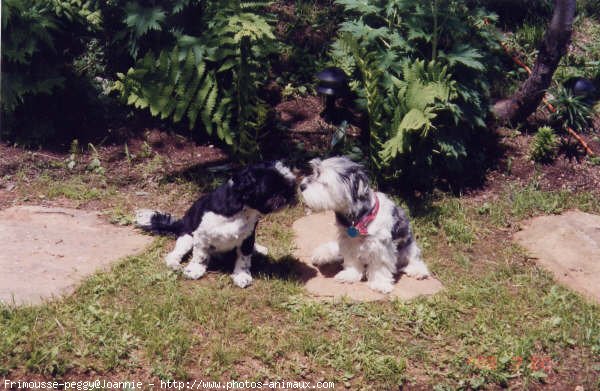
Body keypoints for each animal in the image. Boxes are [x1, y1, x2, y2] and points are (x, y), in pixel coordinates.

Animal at [135, 162, 296, 288]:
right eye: (272, 188)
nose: (289, 193)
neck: (240, 210)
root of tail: (181, 223)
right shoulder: (201, 236)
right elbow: (200, 256)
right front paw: (195, 270)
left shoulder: (247, 238)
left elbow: (244, 259)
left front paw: (241, 276)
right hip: (187, 237)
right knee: (175, 253)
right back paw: (174, 263)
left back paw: (259, 249)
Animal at [300, 156, 432, 294]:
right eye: (314, 172)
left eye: (321, 179)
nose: (301, 186)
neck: (358, 220)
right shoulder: (348, 241)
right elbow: (351, 260)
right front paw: (350, 275)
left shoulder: (380, 246)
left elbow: (380, 267)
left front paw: (380, 284)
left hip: (408, 246)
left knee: (413, 258)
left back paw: (418, 270)